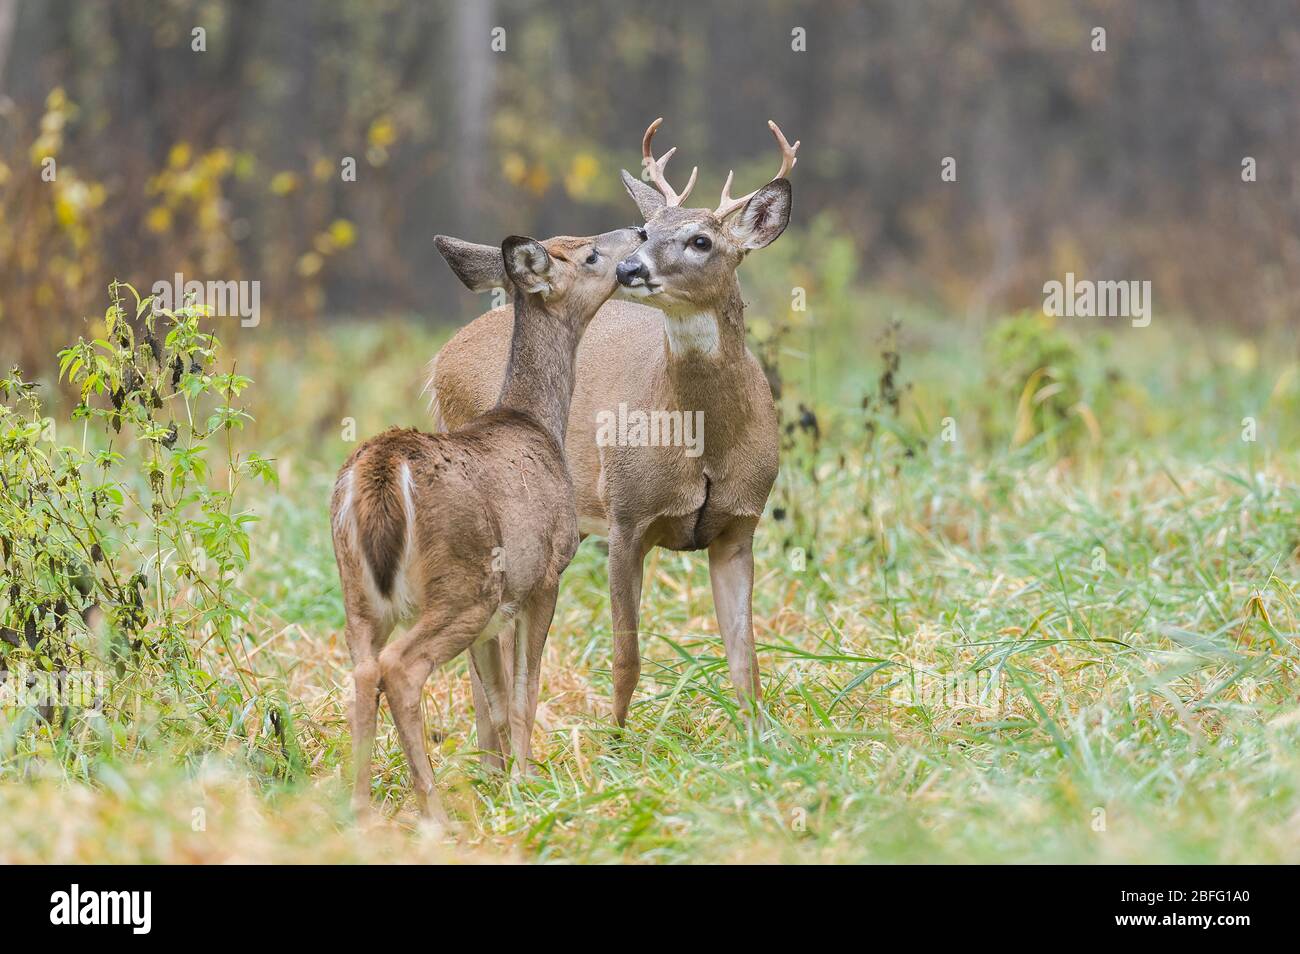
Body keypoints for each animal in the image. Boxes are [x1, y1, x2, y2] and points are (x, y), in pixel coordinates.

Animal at [332, 226, 642, 821]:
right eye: (590, 254)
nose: (638, 234)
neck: (535, 420)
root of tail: (381, 471)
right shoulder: (543, 575)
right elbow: (524, 691)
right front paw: (526, 779)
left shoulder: (499, 614)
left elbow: (495, 699)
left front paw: (501, 779)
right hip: (465, 584)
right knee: (400, 669)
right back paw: (434, 810)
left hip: (358, 591)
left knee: (362, 673)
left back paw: (359, 808)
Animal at [428, 117, 790, 733]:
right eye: (647, 231)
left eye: (702, 240)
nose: (630, 268)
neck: (704, 442)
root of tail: (441, 359)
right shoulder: (626, 514)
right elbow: (627, 657)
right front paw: (616, 742)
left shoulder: (740, 524)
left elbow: (746, 661)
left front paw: (760, 740)